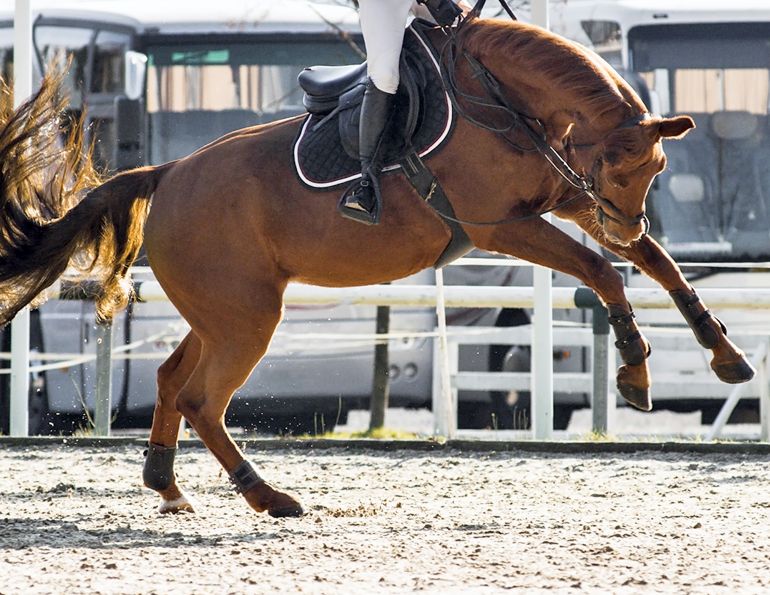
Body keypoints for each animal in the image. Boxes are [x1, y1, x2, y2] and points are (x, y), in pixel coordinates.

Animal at [0, 16, 755, 517]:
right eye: (617, 167)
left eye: (655, 169)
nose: (626, 221)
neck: (501, 97)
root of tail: (169, 172)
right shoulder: (506, 224)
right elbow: (603, 272)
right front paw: (634, 367)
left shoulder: (569, 198)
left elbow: (659, 267)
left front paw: (725, 354)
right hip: (248, 320)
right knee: (200, 399)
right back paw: (267, 495)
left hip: (225, 311)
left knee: (169, 378)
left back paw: (168, 485)